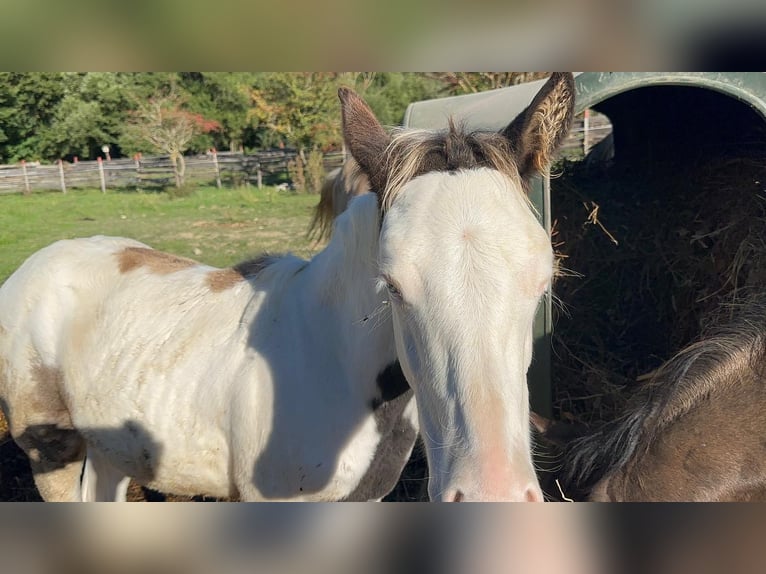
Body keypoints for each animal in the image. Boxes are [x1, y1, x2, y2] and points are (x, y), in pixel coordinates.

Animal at [0, 73, 575, 502]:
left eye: (542, 280)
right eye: (391, 285)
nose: (492, 495)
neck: (331, 361)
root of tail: (31, 267)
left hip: (110, 449)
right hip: (51, 451)